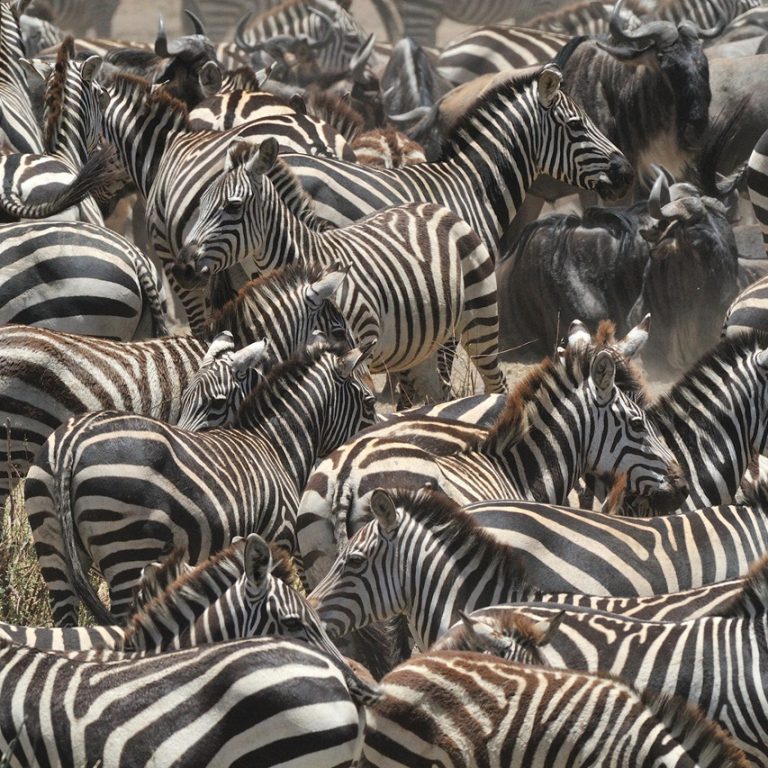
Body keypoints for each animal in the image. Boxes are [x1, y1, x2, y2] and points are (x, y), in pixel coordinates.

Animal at [25, 342, 376, 625]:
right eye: (371, 404)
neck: (275, 446)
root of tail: (71, 440)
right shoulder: (277, 539)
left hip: (52, 546)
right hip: (127, 548)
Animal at [176, 138, 506, 400]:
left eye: (233, 206)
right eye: (201, 203)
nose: (183, 268)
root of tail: (434, 206)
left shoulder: (361, 344)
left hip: (480, 320)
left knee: (497, 383)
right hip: (419, 346)